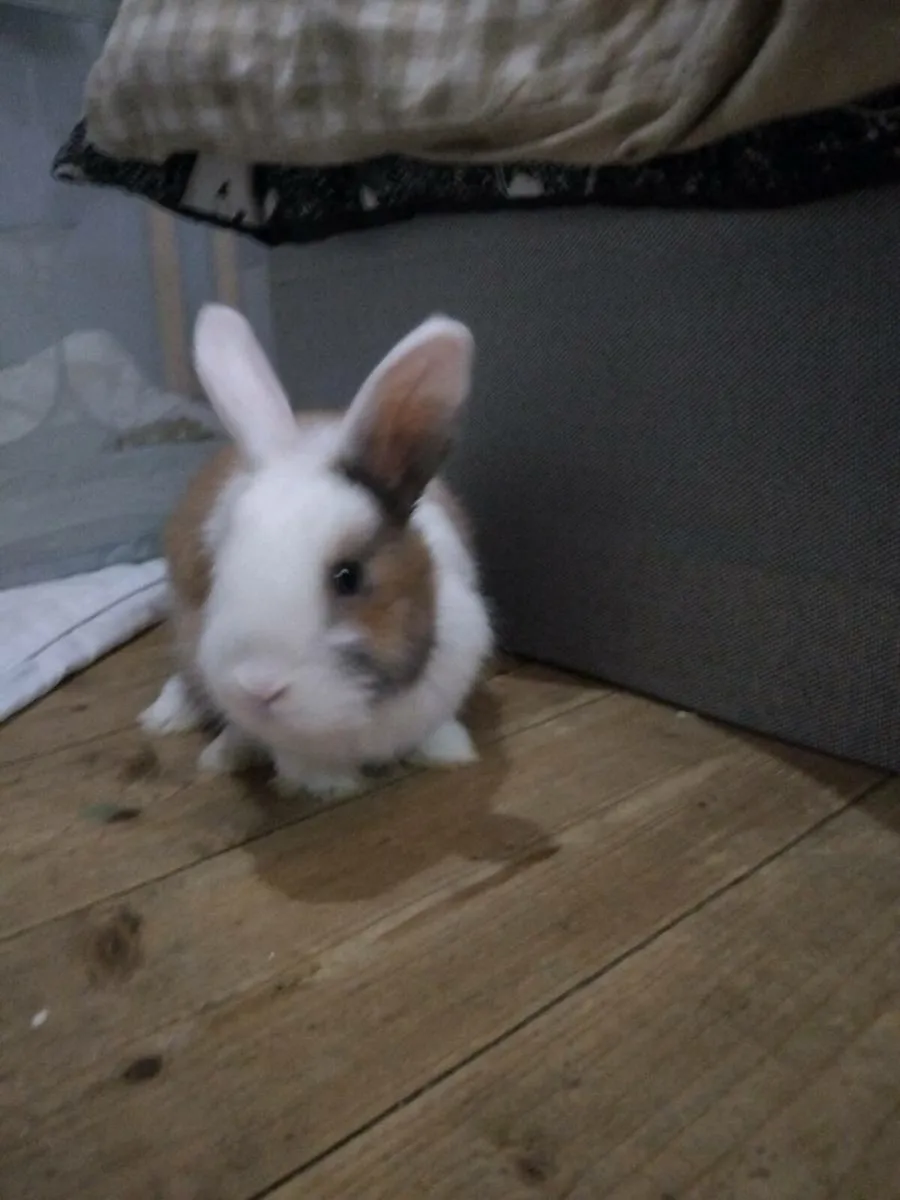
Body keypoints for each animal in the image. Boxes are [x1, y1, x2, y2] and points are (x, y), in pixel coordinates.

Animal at [139, 304, 493, 800]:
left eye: (349, 576)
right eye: (219, 567)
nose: (259, 686)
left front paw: (450, 753)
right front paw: (329, 786)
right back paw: (185, 732)